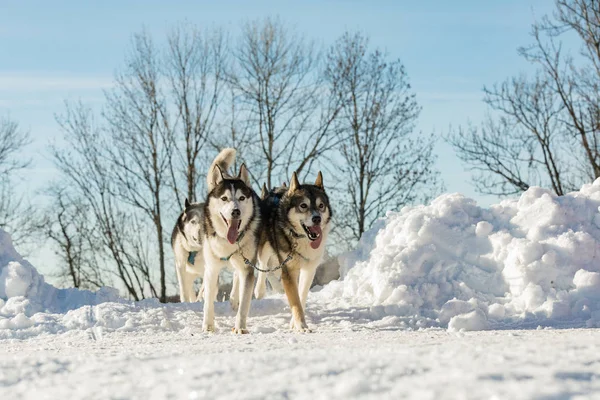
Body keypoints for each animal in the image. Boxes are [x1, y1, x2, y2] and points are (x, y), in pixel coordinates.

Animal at [256, 172, 336, 332]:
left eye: (321, 206)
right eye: (303, 206)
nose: (317, 218)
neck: (302, 238)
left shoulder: (309, 269)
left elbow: (301, 296)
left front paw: (295, 322)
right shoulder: (288, 271)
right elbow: (295, 300)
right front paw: (301, 325)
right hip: (265, 244)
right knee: (263, 264)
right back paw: (259, 290)